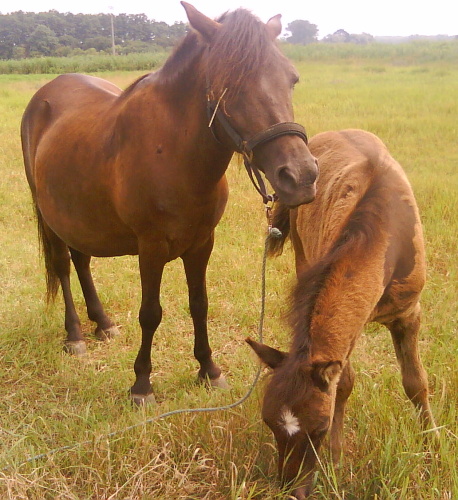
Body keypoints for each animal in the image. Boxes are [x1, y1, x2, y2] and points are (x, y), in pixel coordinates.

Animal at [22, 1, 318, 404]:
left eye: (292, 79)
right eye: (229, 86)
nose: (301, 176)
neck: (173, 152)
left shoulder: (202, 243)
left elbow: (199, 304)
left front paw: (209, 370)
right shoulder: (151, 247)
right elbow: (150, 313)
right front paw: (142, 384)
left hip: (79, 216)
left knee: (81, 261)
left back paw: (102, 323)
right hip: (50, 215)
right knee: (63, 267)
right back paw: (75, 335)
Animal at [247, 130, 436, 500]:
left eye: (318, 430)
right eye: (269, 422)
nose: (292, 489)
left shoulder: (409, 313)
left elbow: (416, 383)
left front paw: (432, 445)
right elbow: (344, 384)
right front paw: (335, 461)